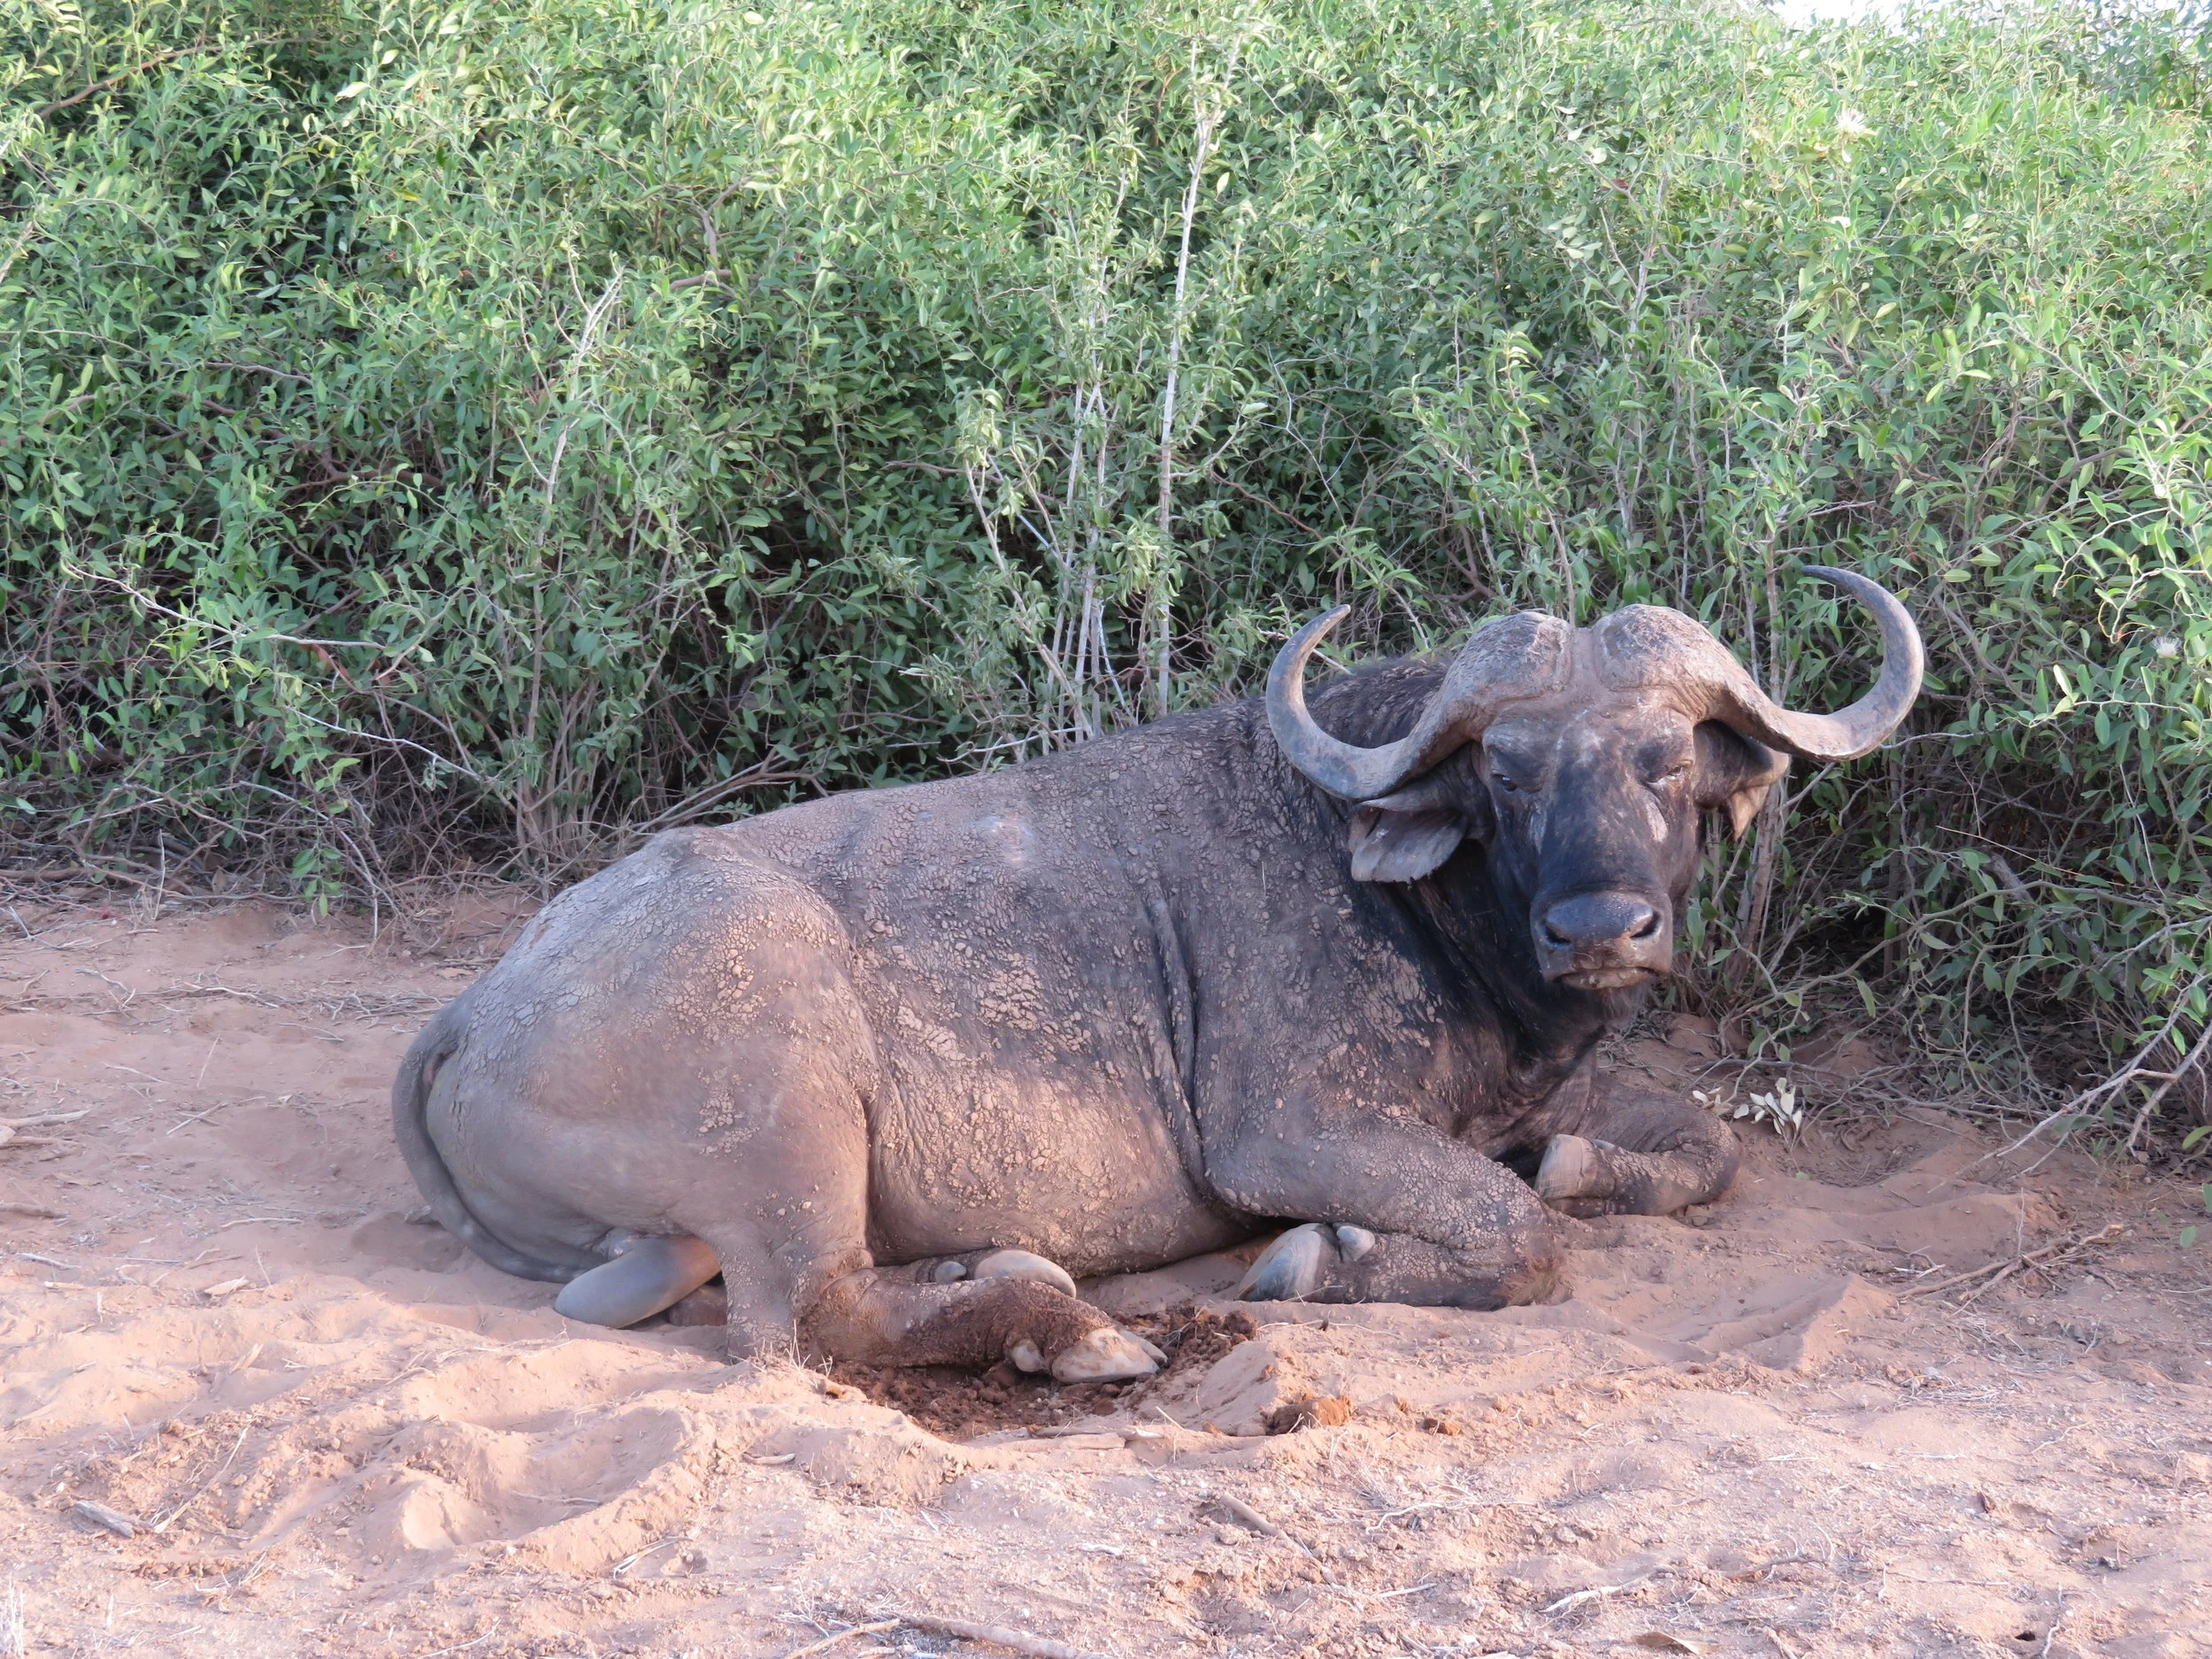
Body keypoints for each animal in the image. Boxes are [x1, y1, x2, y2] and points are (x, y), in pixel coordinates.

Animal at [394, 568, 1921, 1381]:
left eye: (1666, 761)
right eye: (1508, 768)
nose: (1601, 925)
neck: (1436, 912)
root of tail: (474, 1010)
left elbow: (1694, 1147)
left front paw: (1588, 1162)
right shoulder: (1287, 1133)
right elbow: (1518, 1231)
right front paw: (1320, 1255)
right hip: (785, 1109)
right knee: (806, 1317)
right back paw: (1071, 1324)